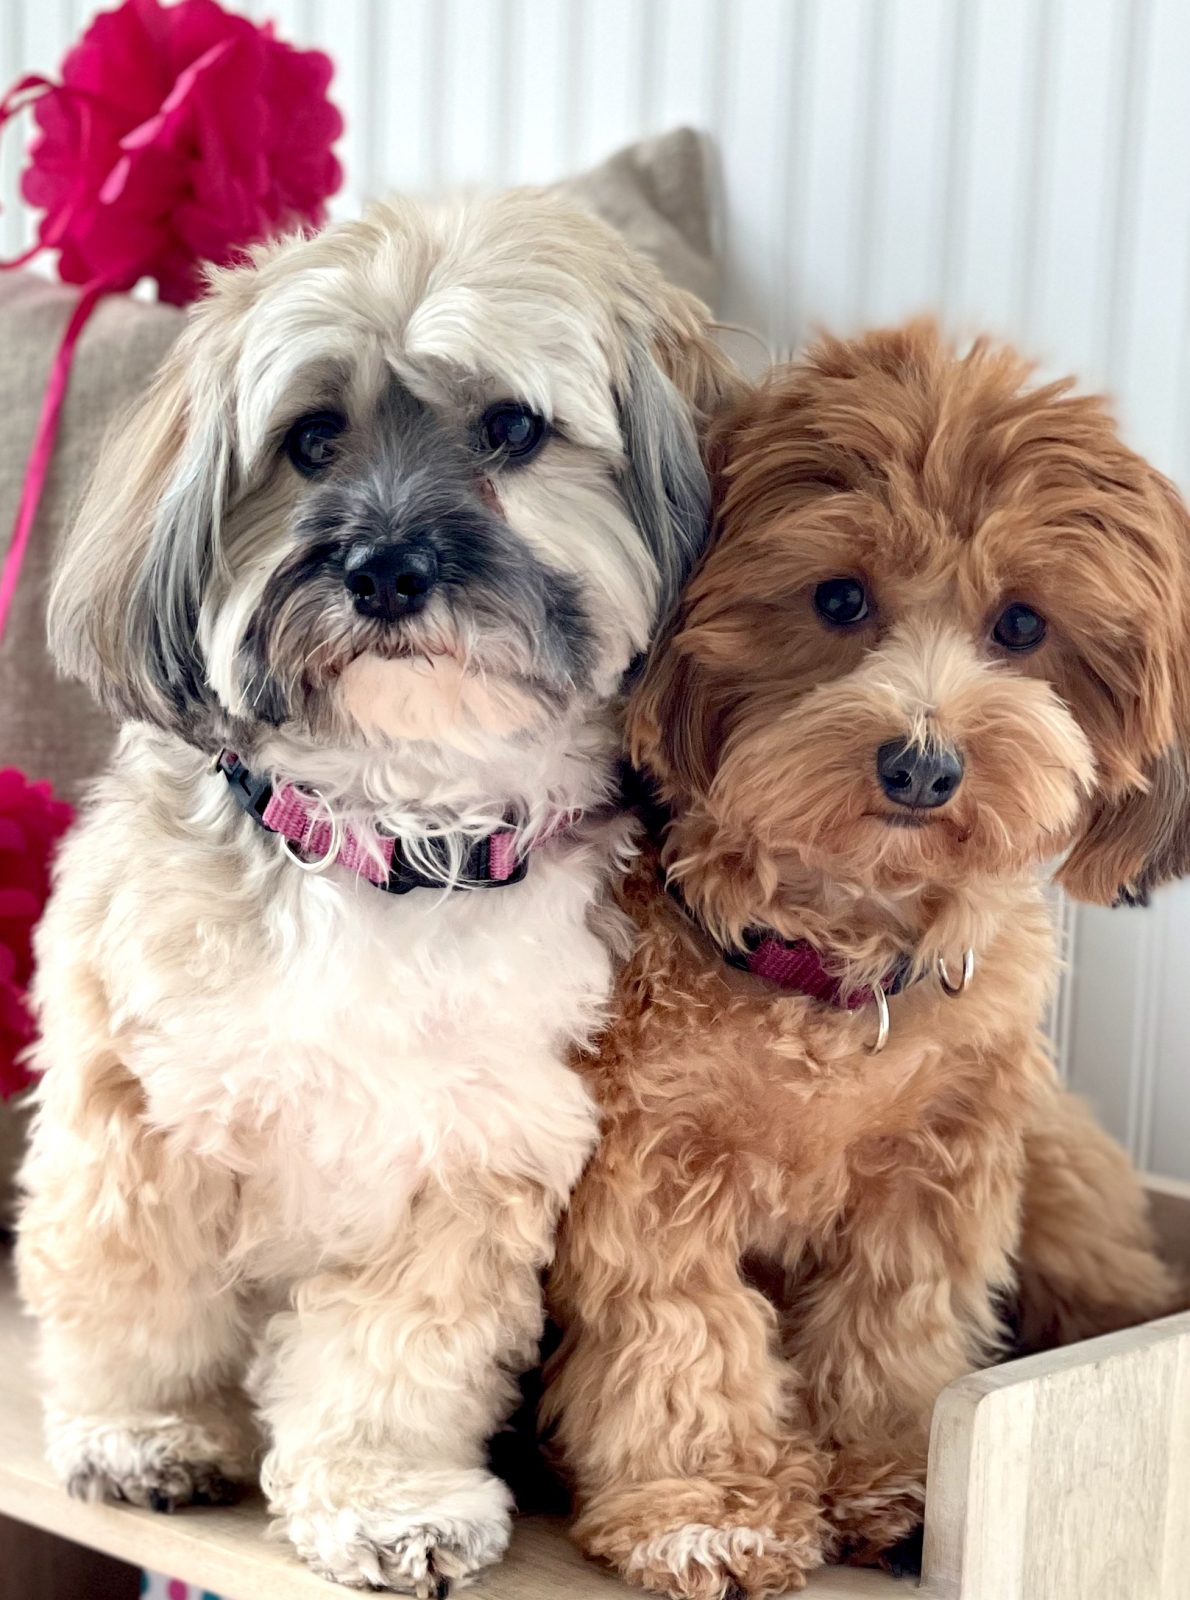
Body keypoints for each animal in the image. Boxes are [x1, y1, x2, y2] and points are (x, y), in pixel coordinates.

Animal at [16, 193, 735, 1593]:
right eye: (309, 439)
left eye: (510, 427)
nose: (384, 569)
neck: (391, 836)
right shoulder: (137, 1105)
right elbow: (141, 1291)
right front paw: (146, 1431)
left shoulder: (473, 1155)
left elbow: (393, 1357)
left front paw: (388, 1501)